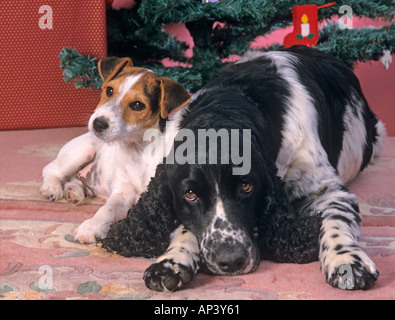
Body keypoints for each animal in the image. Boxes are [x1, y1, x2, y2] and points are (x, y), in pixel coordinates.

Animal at [41, 57, 191, 242]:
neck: (138, 149)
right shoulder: (123, 193)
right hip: (82, 151)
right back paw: (53, 188)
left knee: (74, 179)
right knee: (51, 169)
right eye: (109, 90)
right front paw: (92, 226)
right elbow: (106, 209)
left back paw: (74, 192)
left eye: (137, 105)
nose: (97, 124)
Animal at [100, 46, 386, 292]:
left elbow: (335, 219)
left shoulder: (326, 190)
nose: (231, 261)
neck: (228, 107)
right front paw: (171, 262)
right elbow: (185, 227)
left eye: (246, 186)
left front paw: (347, 262)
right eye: (190, 194)